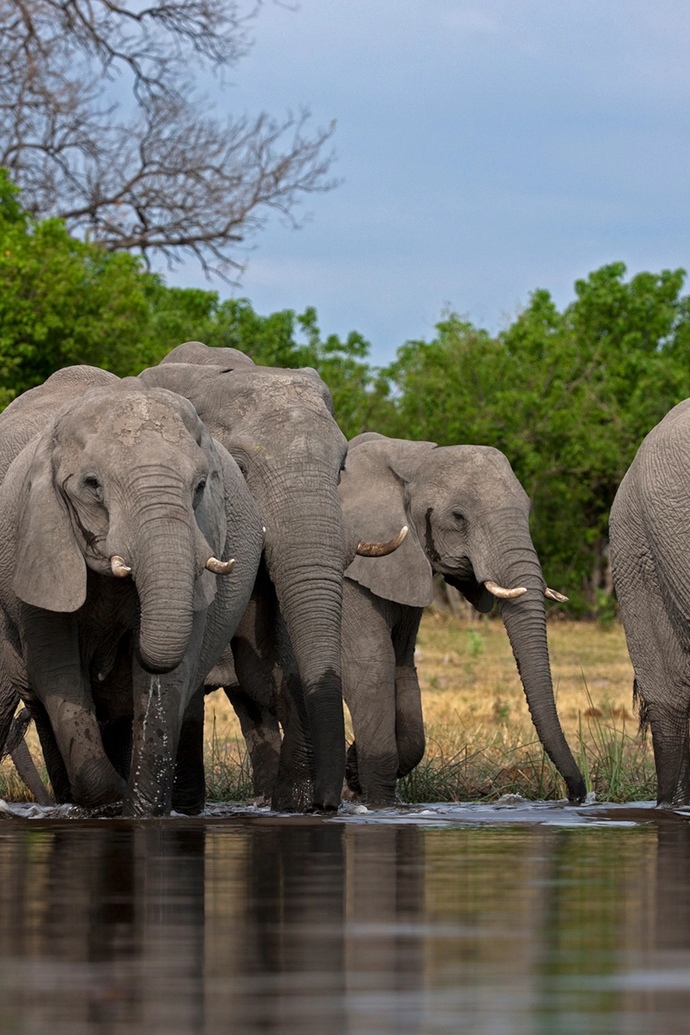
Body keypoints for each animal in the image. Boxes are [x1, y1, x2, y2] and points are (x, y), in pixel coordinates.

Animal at [0, 374, 263, 815]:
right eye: (92, 485)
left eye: (201, 485)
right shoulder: (37, 538)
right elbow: (57, 665)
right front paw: (109, 803)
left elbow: (170, 675)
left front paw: (142, 811)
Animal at [337, 432, 587, 805]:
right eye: (458, 517)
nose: (577, 795)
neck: (411, 458)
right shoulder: (351, 574)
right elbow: (369, 668)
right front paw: (377, 800)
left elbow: (402, 666)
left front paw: (353, 769)